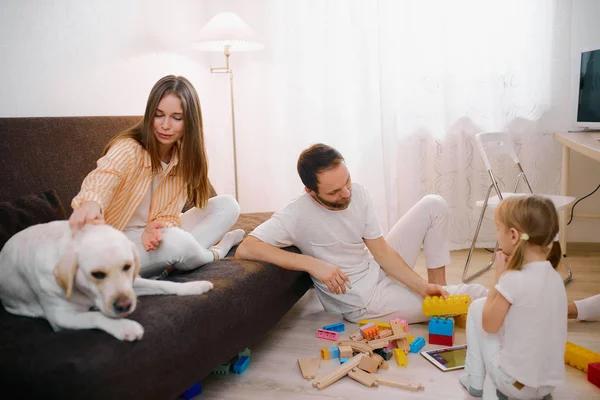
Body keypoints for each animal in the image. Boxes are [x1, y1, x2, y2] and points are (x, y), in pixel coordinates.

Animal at [0, 222, 214, 340]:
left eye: (127, 266)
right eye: (97, 274)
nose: (124, 305)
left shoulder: (132, 284)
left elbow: (163, 284)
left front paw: (194, 286)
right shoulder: (60, 317)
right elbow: (96, 317)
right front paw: (125, 326)